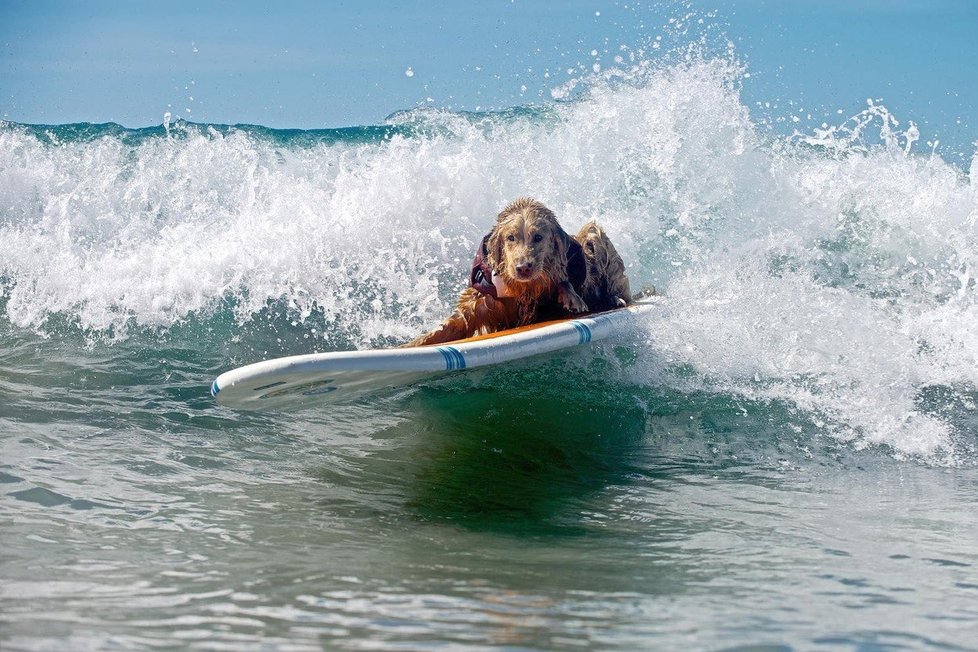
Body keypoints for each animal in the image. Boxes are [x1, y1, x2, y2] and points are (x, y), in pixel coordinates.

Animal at [406, 199, 628, 348]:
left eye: (538, 237)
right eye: (510, 237)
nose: (523, 268)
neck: (522, 288)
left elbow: (562, 281)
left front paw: (570, 296)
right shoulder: (481, 302)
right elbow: (450, 325)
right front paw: (412, 344)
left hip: (594, 235)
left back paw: (613, 299)